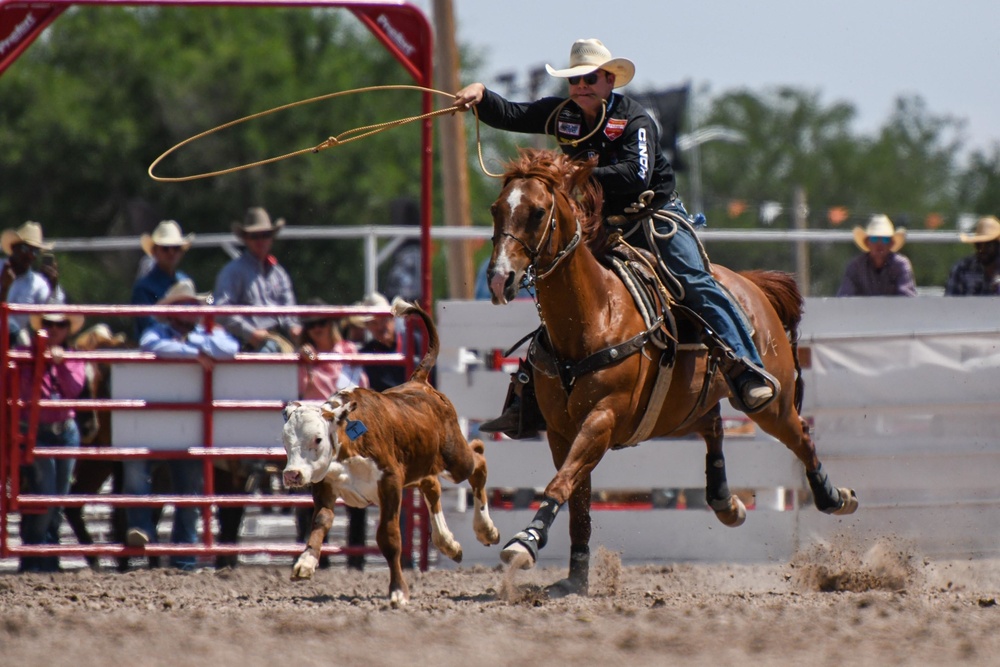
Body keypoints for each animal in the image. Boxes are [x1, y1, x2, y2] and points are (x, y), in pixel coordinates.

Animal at [282, 300, 500, 608]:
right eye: (286, 441)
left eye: (318, 438)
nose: (292, 474)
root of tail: (420, 383)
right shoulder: (325, 484)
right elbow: (321, 521)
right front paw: (306, 562)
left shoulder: (390, 482)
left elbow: (389, 537)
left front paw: (398, 591)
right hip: (423, 463)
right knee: (432, 486)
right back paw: (448, 543)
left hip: (455, 459)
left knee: (478, 458)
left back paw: (486, 529)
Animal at [486, 149, 860, 596]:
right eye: (496, 208)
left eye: (538, 211)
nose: (499, 279)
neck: (594, 315)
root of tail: (751, 287)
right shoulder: (561, 430)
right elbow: (577, 498)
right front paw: (576, 576)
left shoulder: (602, 420)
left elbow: (561, 483)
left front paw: (524, 542)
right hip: (681, 410)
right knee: (713, 425)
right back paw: (725, 502)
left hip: (773, 404)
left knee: (800, 434)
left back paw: (833, 496)